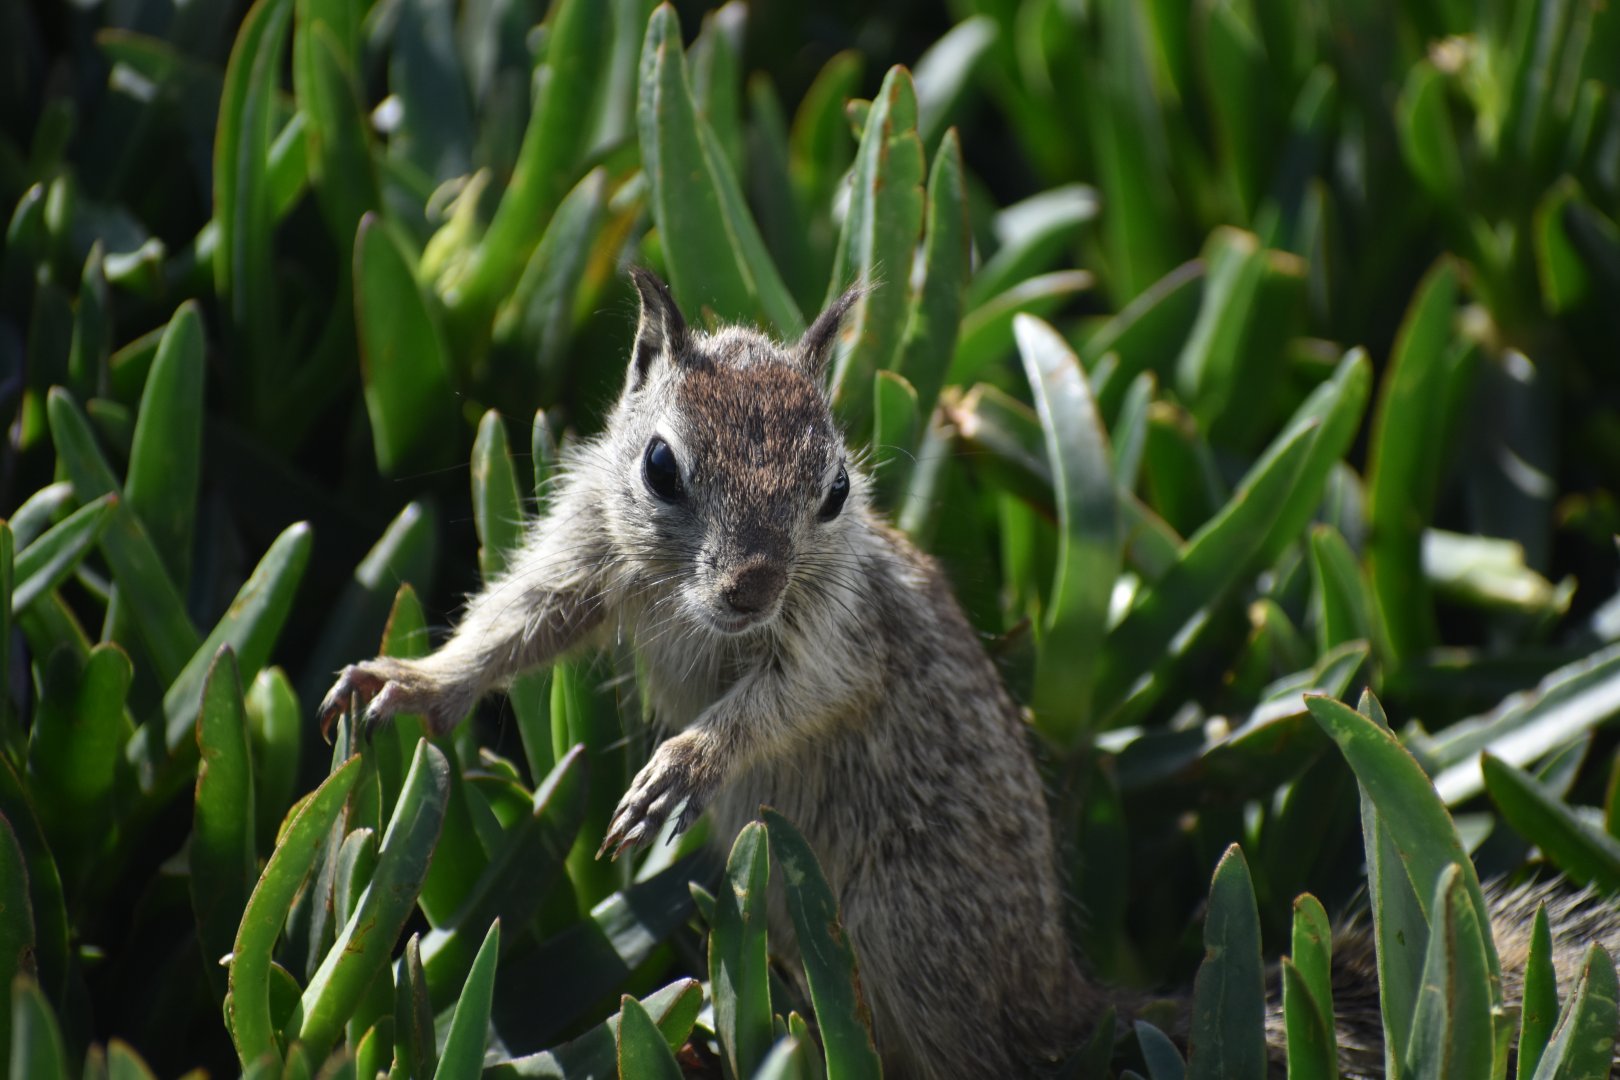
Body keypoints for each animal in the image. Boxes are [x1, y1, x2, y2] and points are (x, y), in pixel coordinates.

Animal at [320, 270, 1620, 1078]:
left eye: (836, 489)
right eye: (659, 466)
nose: (750, 586)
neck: (712, 614)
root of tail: (1061, 993)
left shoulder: (835, 638)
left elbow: (791, 700)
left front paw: (684, 764)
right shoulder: (589, 555)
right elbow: (517, 627)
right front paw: (406, 685)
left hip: (901, 925)